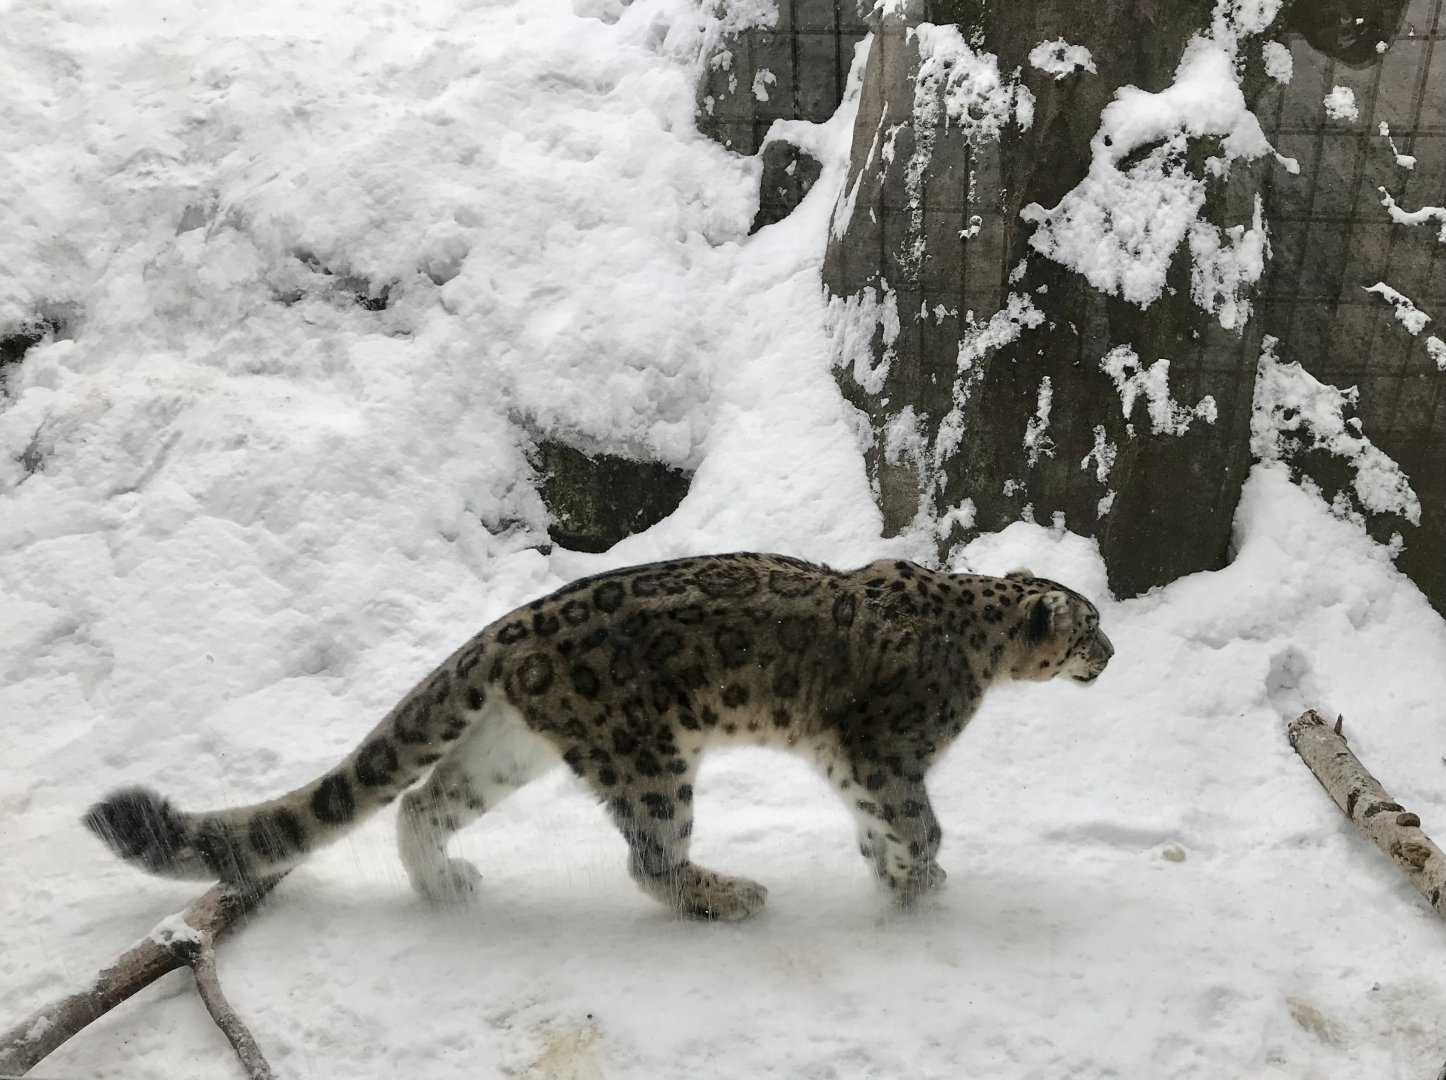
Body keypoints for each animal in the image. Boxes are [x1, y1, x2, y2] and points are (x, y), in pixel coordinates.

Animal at [85, 552, 1113, 921]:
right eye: (1089, 625)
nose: (1112, 651)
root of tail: (510, 628)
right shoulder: (884, 752)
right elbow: (917, 817)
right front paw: (921, 874)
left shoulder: (855, 767)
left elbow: (879, 826)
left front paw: (901, 881)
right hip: (649, 755)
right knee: (650, 859)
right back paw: (726, 894)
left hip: (510, 746)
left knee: (423, 799)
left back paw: (445, 885)